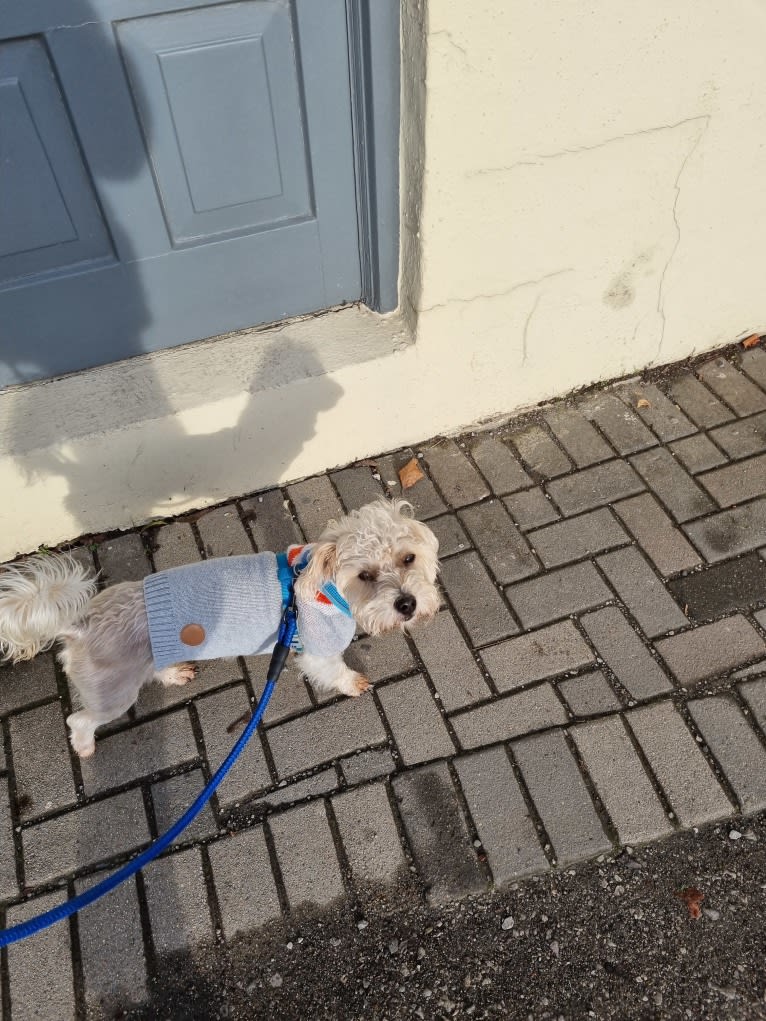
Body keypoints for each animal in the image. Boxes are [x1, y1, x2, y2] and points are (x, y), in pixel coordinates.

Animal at [0, 502, 437, 759]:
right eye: (364, 575)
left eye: (408, 558)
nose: (407, 604)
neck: (322, 586)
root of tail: (80, 623)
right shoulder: (318, 652)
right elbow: (337, 672)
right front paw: (352, 683)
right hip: (113, 695)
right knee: (79, 720)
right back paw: (85, 745)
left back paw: (174, 674)